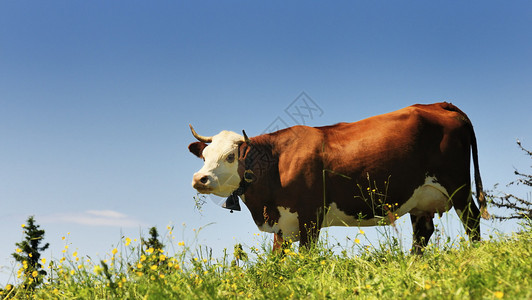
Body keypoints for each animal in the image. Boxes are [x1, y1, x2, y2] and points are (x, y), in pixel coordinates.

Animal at [188, 102, 490, 253]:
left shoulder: (310, 217)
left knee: (472, 222)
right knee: (423, 233)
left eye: (230, 156)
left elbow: (307, 256)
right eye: (204, 157)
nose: (199, 179)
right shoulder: (282, 225)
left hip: (458, 186)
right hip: (420, 198)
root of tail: (439, 104)